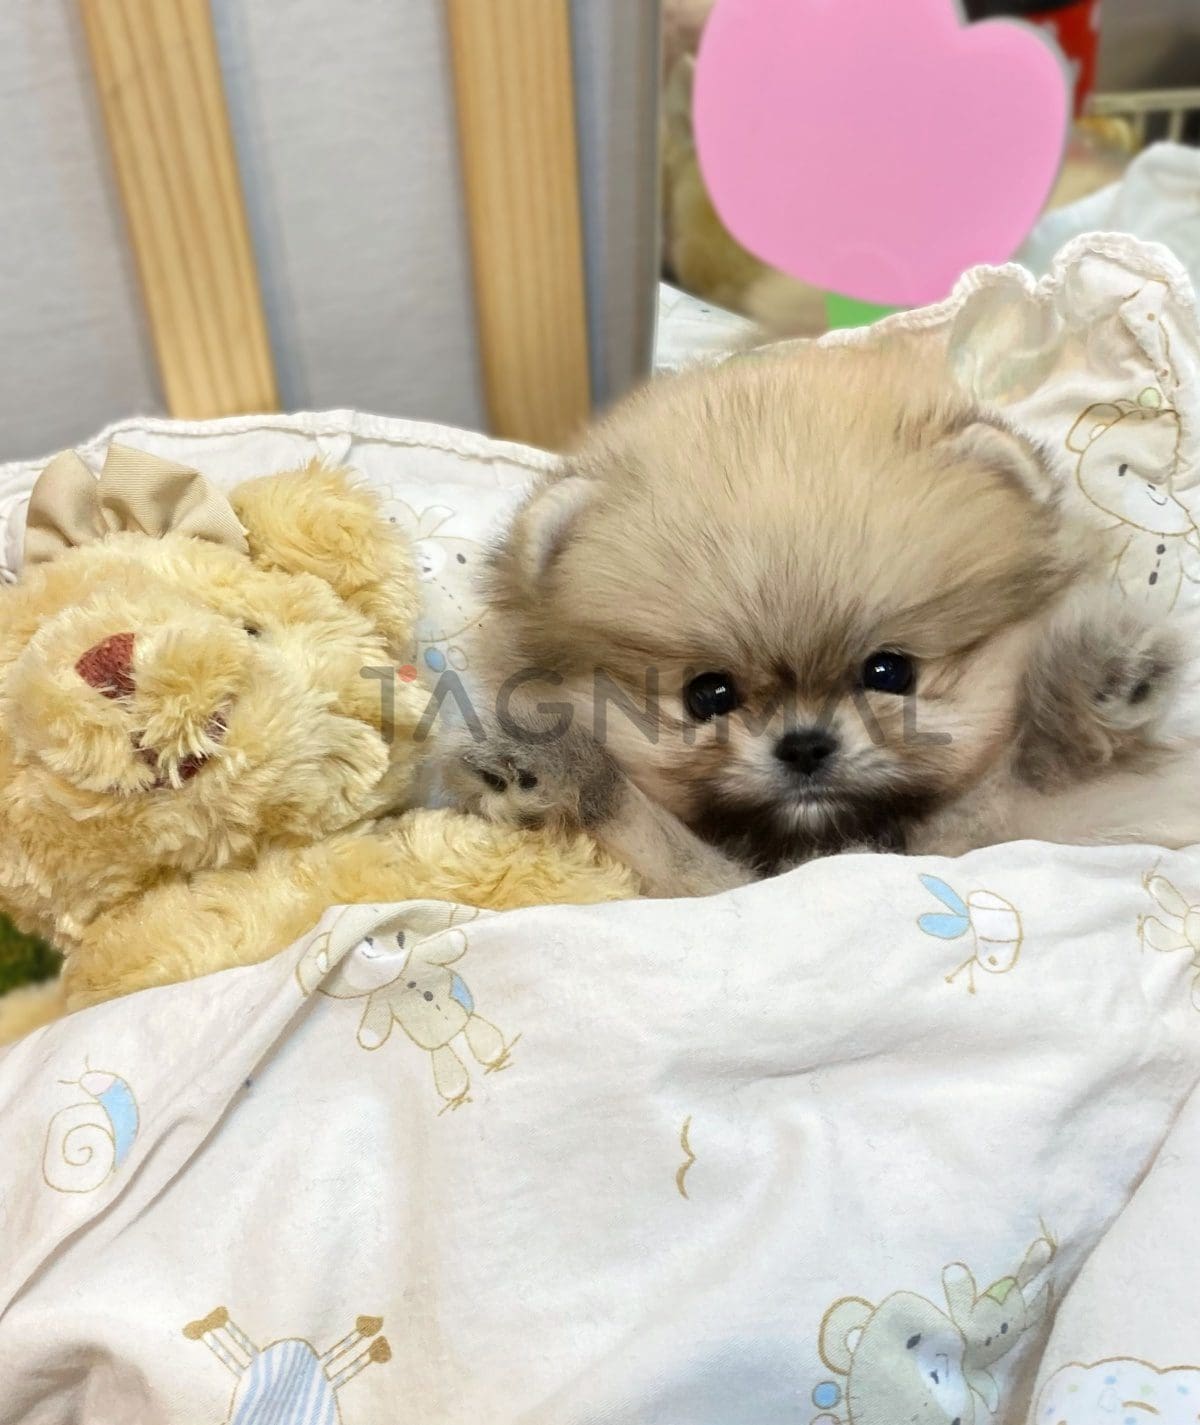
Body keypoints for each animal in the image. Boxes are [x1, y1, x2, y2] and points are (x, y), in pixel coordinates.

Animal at [448, 337, 1185, 896]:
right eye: (708, 692)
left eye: (890, 671)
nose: (804, 745)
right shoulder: (716, 885)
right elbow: (648, 832)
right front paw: (551, 771)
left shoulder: (1014, 827)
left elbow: (1037, 769)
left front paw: (1102, 677)